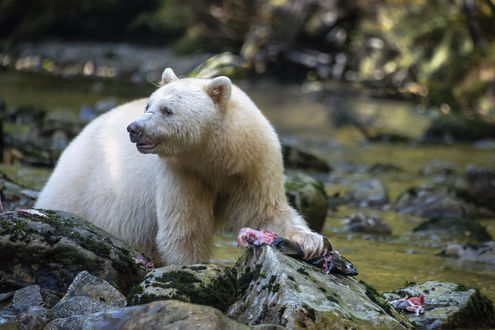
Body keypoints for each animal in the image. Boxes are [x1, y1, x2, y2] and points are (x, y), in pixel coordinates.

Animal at [36, 67, 328, 266]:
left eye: (168, 110)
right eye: (148, 104)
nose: (134, 129)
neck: (216, 155)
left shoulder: (252, 166)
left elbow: (266, 211)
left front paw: (311, 241)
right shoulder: (182, 173)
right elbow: (185, 226)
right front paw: (190, 265)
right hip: (80, 192)